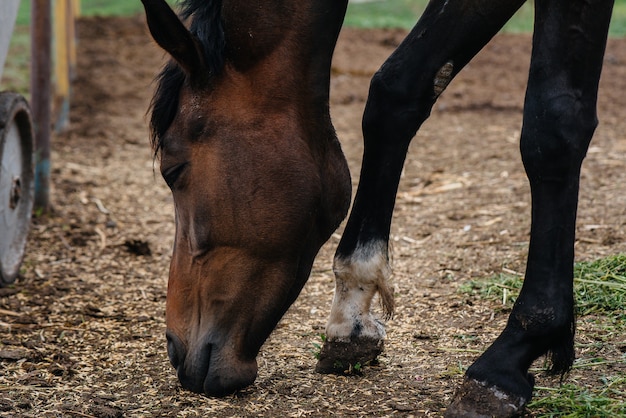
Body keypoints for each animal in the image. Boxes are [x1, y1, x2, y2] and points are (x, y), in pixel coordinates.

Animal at [139, 0, 612, 414]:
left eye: (173, 169)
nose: (174, 348)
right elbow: (396, 91)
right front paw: (351, 316)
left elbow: (552, 127)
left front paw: (512, 355)